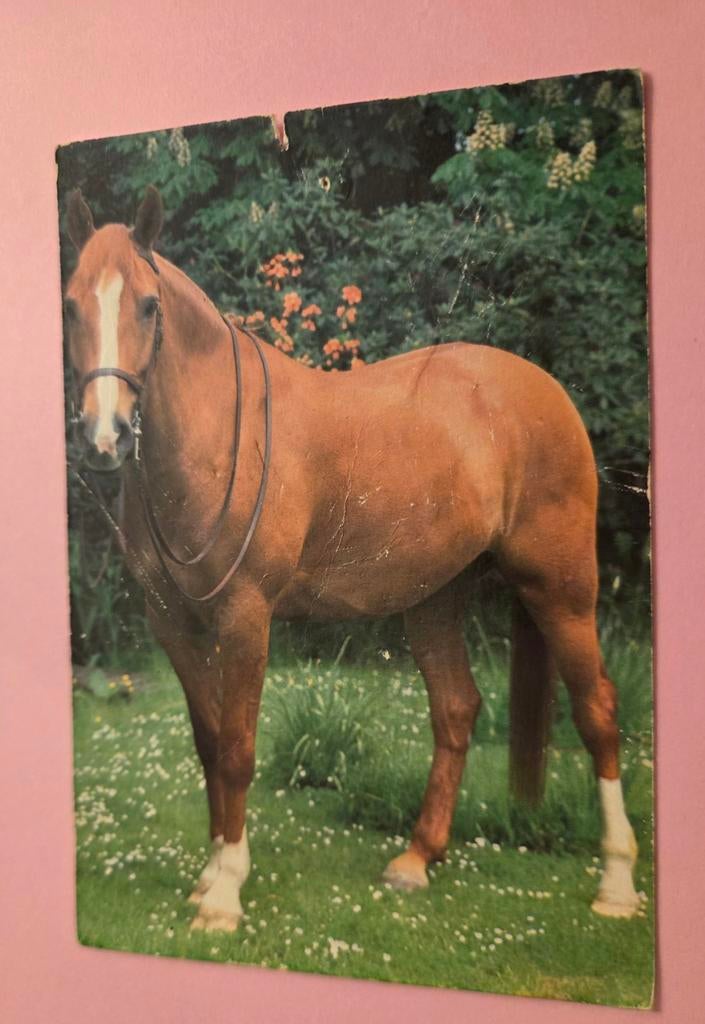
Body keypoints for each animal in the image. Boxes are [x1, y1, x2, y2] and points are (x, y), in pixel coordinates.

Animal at [63, 185, 640, 933]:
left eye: (147, 306)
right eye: (71, 305)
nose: (105, 437)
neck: (218, 440)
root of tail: (544, 388)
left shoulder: (245, 617)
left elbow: (238, 748)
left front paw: (224, 894)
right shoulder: (175, 625)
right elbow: (209, 741)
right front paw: (209, 873)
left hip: (561, 590)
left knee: (596, 709)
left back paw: (617, 884)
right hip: (434, 599)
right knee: (457, 710)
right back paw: (416, 860)